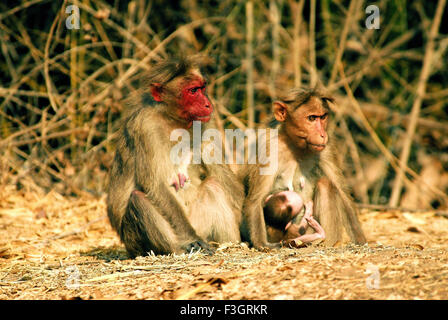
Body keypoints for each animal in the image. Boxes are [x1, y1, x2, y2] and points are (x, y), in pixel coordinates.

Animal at [107, 56, 243, 258]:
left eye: (202, 88)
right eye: (192, 91)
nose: (208, 104)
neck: (172, 119)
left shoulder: (205, 122)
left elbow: (232, 185)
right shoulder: (145, 127)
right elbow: (155, 185)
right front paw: (191, 239)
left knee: (213, 186)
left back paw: (231, 244)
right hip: (136, 242)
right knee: (139, 199)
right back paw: (180, 248)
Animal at [242, 87, 368, 250]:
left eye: (322, 117)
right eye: (311, 118)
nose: (322, 135)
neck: (293, 142)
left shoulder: (326, 148)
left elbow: (343, 193)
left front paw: (361, 241)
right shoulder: (267, 146)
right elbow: (256, 199)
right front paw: (263, 244)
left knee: (325, 184)